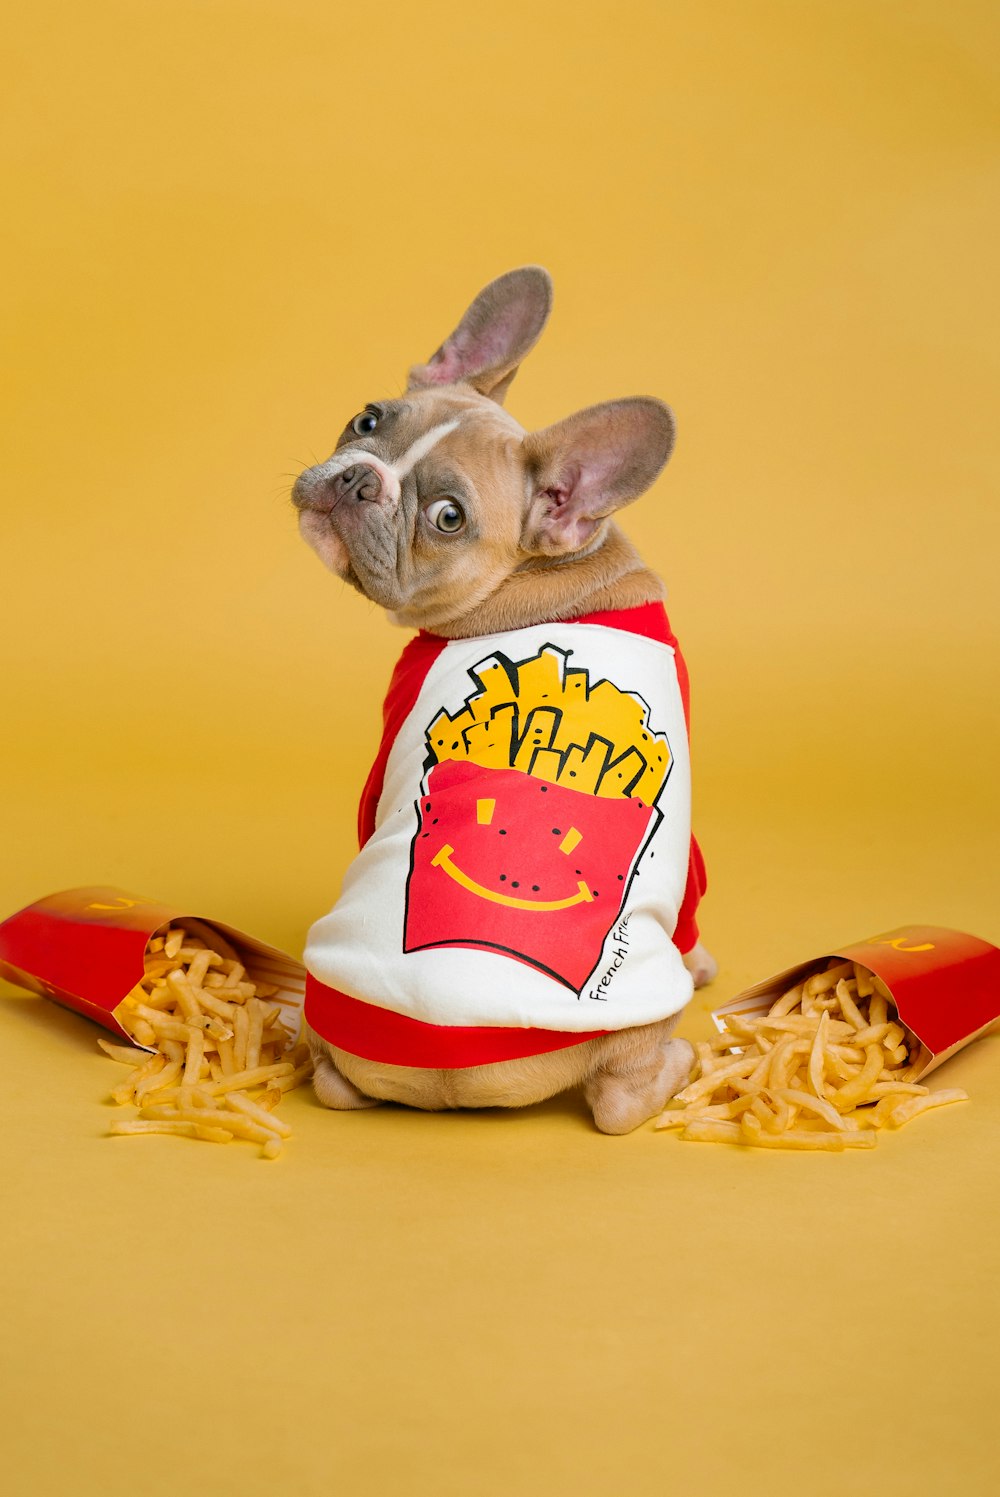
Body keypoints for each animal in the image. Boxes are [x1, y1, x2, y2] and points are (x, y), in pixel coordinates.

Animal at [293, 272, 715, 1131]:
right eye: (367, 418)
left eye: (448, 517)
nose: (358, 476)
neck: (555, 573)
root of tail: (452, 1076)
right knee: (622, 1096)